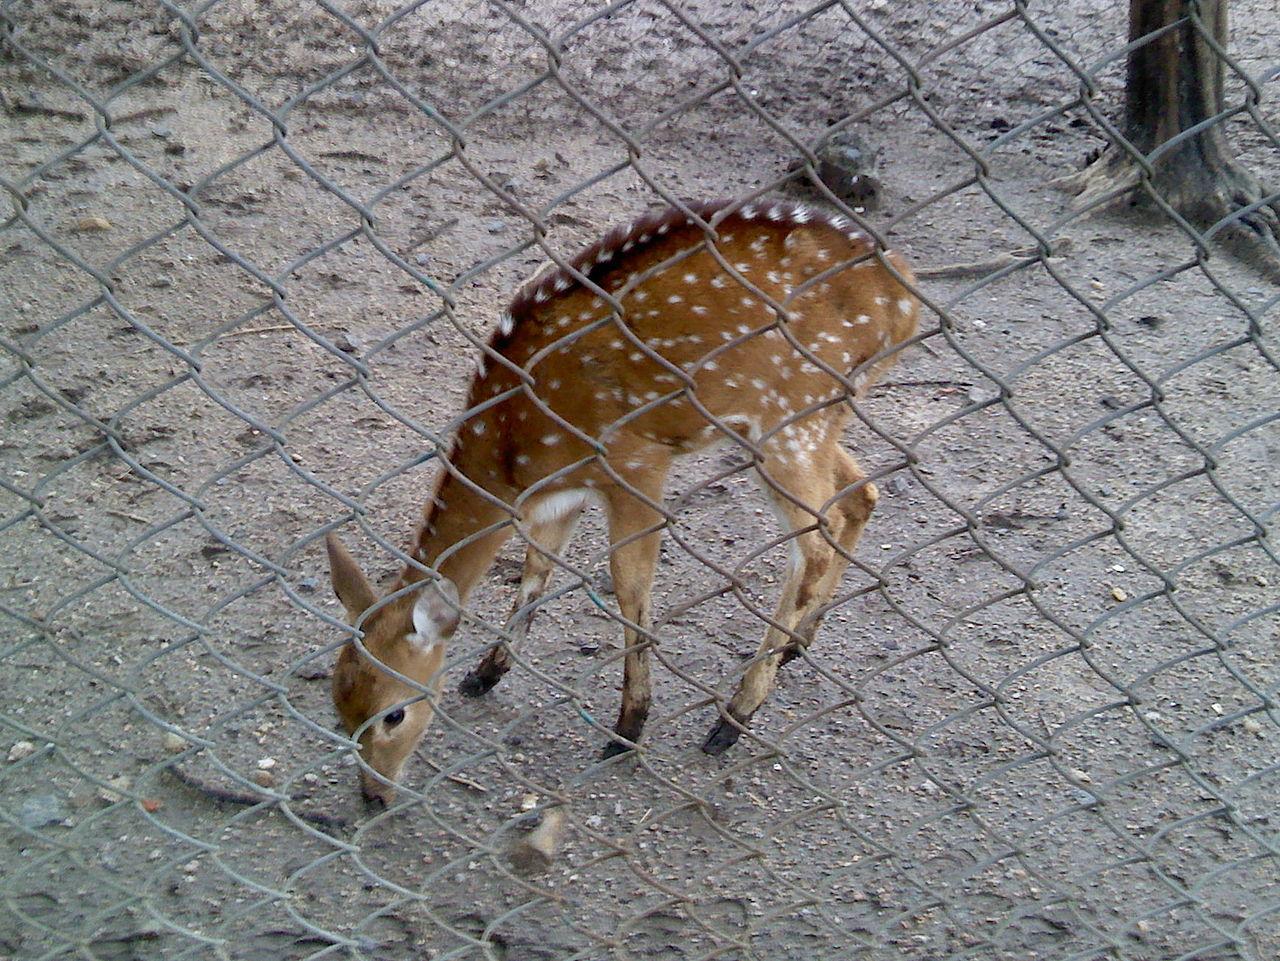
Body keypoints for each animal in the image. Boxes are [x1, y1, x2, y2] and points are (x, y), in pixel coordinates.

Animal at [325, 197, 919, 805]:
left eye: (393, 713)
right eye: (339, 713)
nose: (372, 796)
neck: (513, 448)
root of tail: (906, 301)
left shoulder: (634, 462)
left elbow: (629, 586)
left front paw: (629, 726)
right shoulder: (560, 492)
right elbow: (537, 568)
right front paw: (486, 673)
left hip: (792, 415)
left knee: (817, 540)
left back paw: (732, 718)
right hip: (811, 419)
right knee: (860, 492)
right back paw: (798, 644)